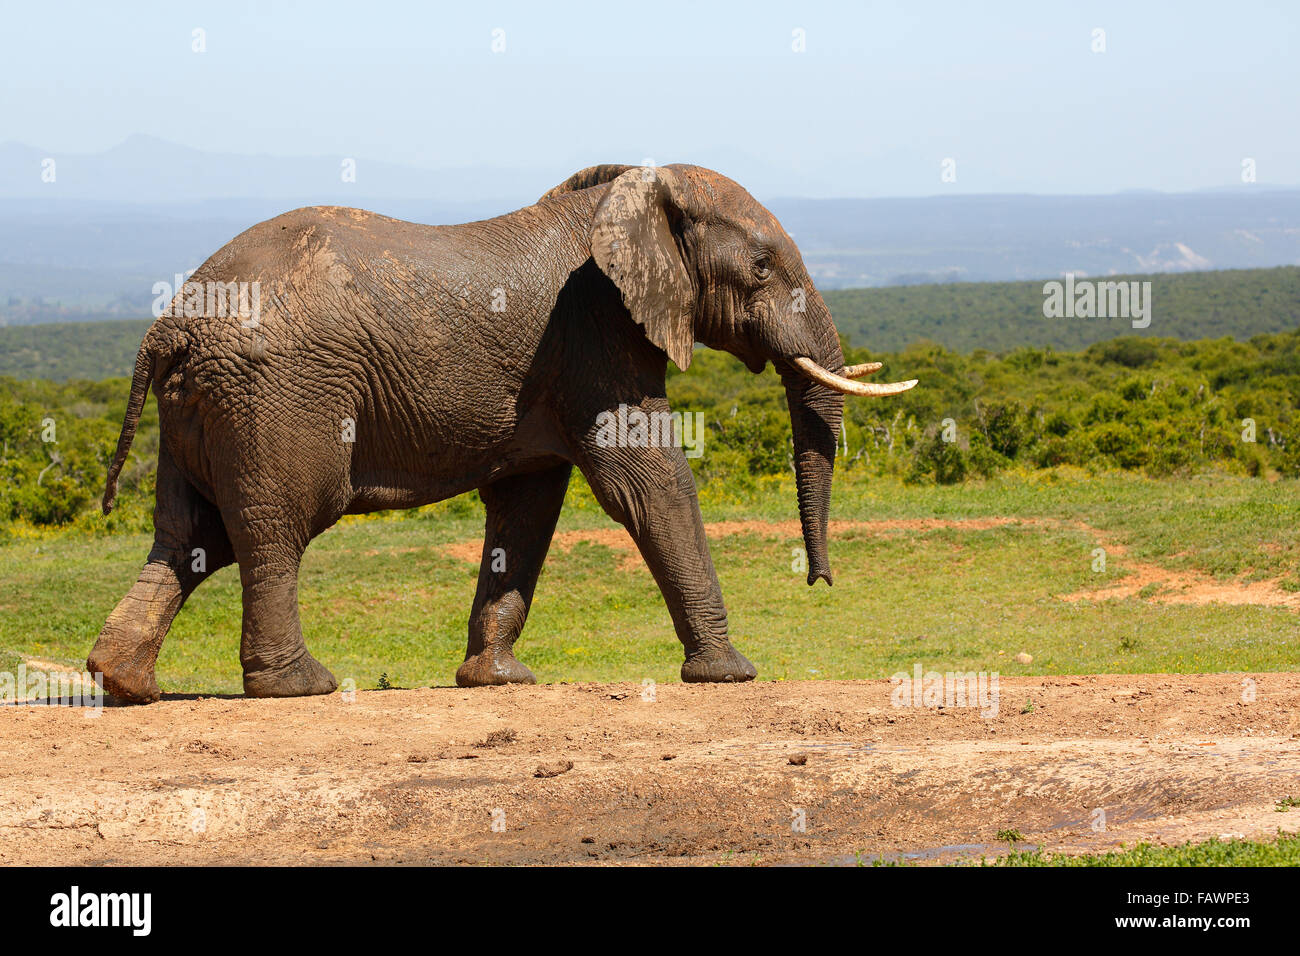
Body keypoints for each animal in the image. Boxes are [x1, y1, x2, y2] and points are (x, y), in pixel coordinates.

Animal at [86, 164, 915, 702]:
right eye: (763, 265)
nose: (819, 583)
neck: (635, 189)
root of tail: (167, 327)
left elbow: (528, 507)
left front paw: (497, 681)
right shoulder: (595, 330)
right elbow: (647, 482)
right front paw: (731, 673)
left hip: (207, 404)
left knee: (191, 535)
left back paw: (121, 681)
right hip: (278, 396)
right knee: (276, 528)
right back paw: (300, 686)